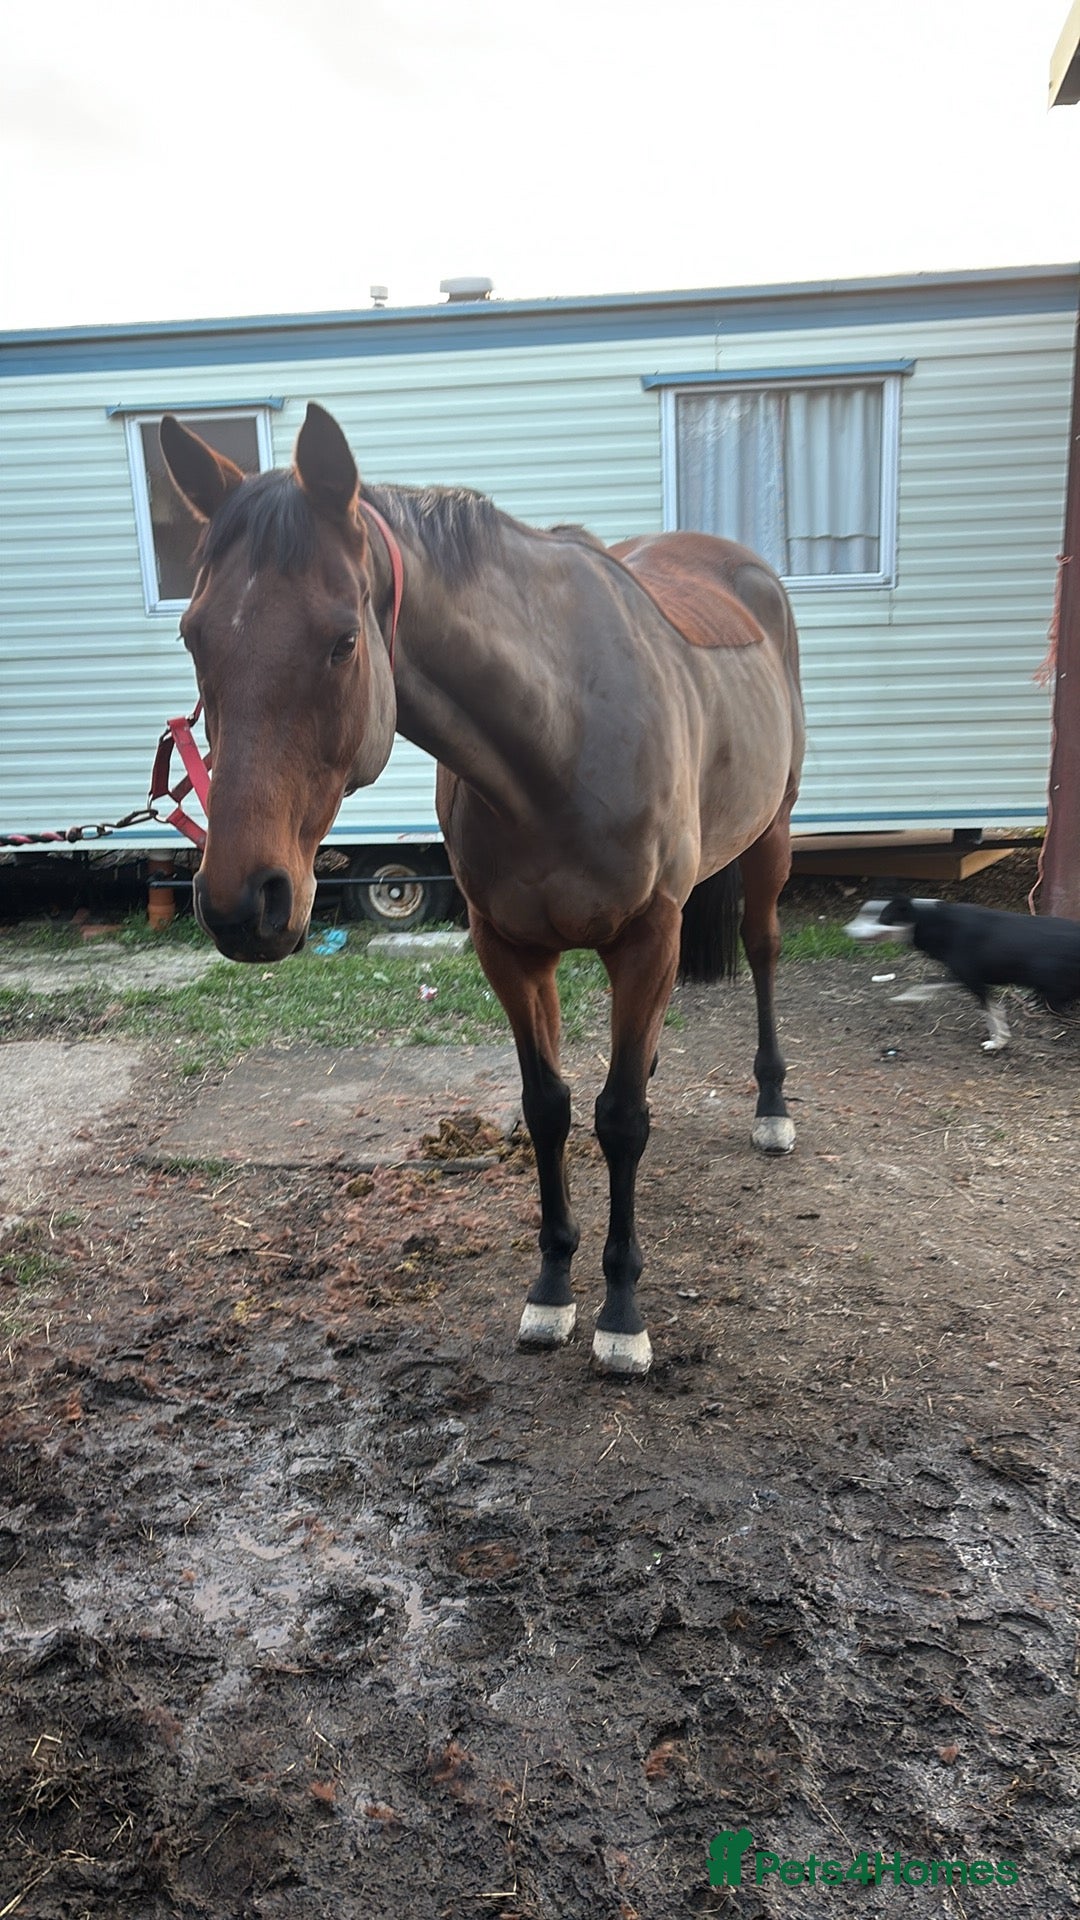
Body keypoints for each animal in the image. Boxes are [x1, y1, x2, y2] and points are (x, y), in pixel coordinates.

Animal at [160, 403, 805, 1377]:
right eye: (195, 637)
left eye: (343, 640)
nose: (243, 902)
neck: (557, 737)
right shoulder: (510, 950)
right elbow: (549, 1109)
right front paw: (552, 1289)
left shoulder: (646, 934)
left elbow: (620, 1120)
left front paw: (621, 1310)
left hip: (772, 833)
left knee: (763, 951)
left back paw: (770, 1108)